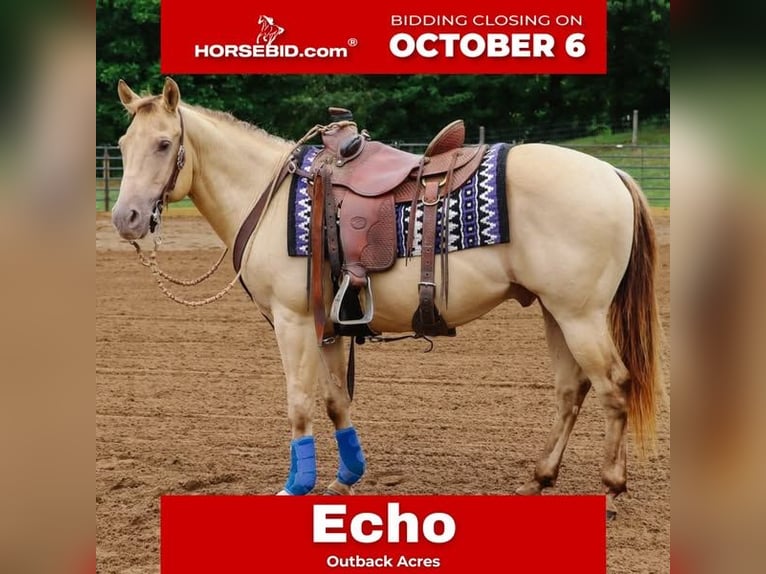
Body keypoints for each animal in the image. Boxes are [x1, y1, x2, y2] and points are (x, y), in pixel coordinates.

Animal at [111, 78, 661, 517]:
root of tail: (611, 173)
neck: (270, 197)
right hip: (555, 311)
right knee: (572, 391)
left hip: (580, 315)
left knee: (614, 387)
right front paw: (346, 479)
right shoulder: (327, 325)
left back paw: (611, 492)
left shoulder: (292, 322)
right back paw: (538, 480)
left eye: (164, 143)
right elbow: (335, 400)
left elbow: (298, 402)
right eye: (121, 143)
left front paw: (296, 486)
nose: (126, 218)